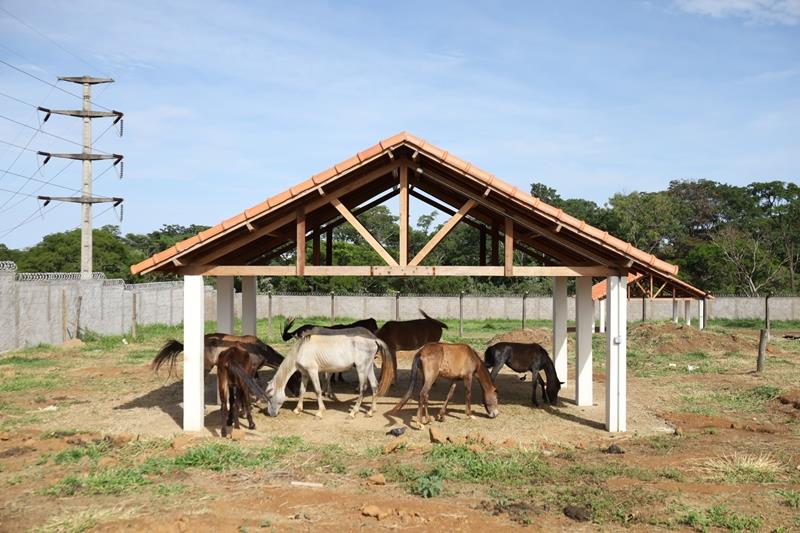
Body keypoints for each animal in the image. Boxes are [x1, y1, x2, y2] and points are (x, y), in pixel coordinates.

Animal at [150, 332, 300, 394]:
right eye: (296, 378)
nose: (297, 394)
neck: (259, 349)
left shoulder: (254, 370)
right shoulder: (251, 369)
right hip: (206, 367)